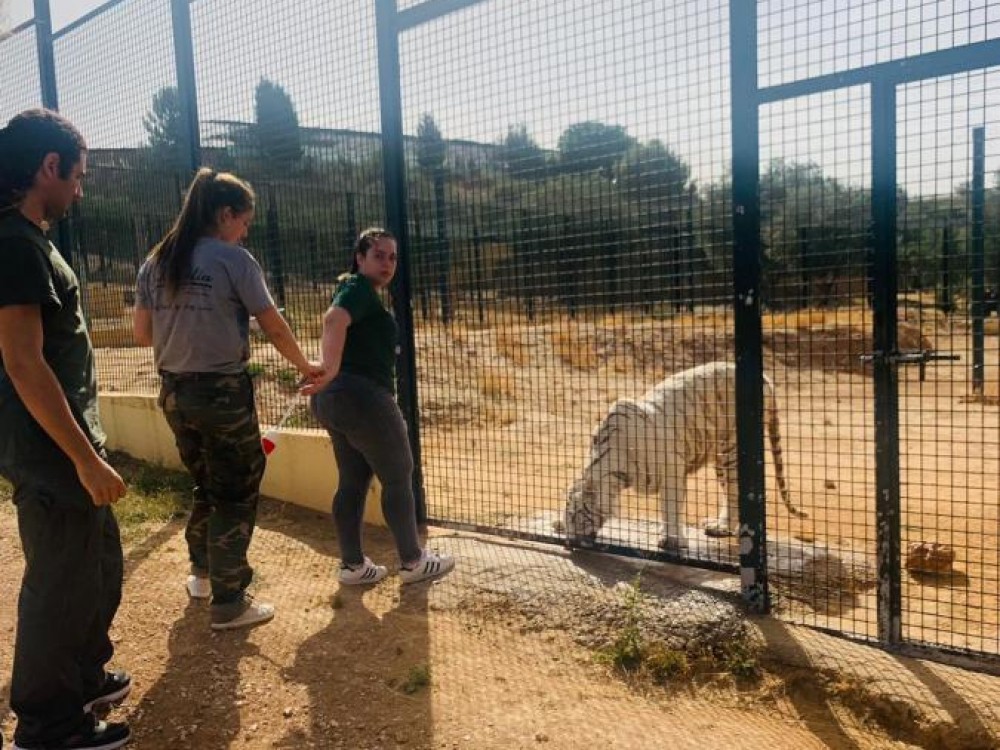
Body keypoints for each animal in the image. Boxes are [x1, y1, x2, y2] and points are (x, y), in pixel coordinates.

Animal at [562, 361, 806, 552]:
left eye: (576, 515)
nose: (568, 543)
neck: (615, 475)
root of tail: (765, 378)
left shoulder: (672, 474)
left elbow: (670, 508)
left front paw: (672, 540)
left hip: (732, 452)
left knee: (737, 490)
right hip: (720, 456)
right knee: (729, 492)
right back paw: (719, 527)